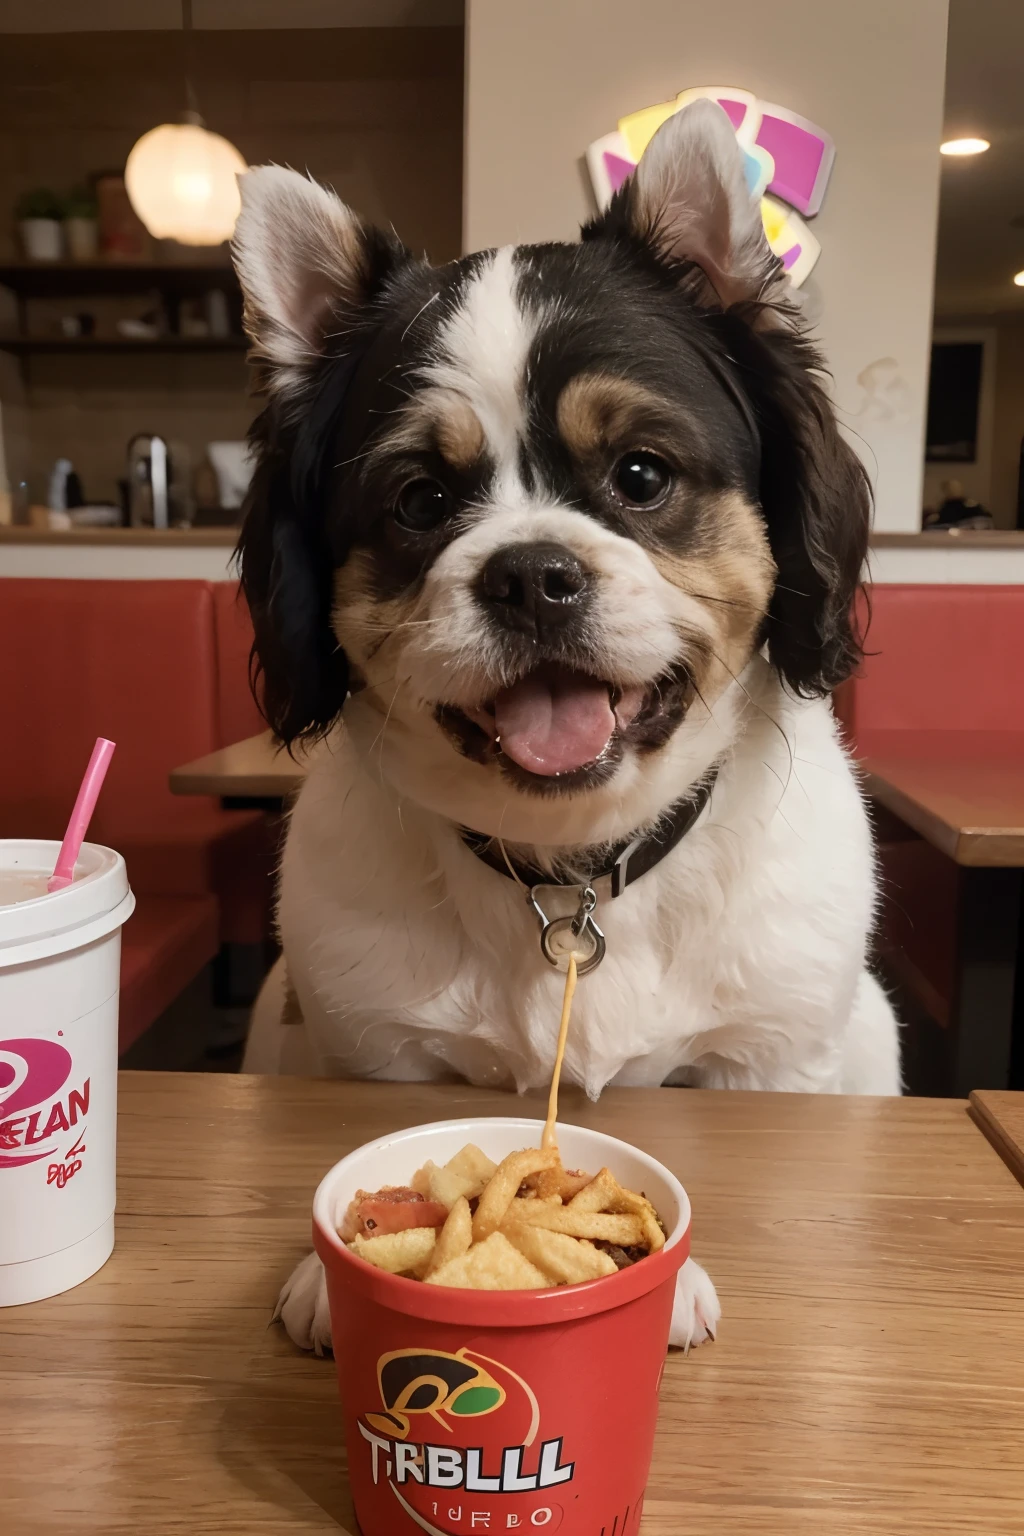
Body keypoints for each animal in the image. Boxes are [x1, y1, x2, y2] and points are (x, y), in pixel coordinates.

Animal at [230, 102, 896, 1357]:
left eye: (639, 473)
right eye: (420, 502)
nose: (531, 573)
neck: (572, 867)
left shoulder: (766, 1059)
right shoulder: (375, 1053)